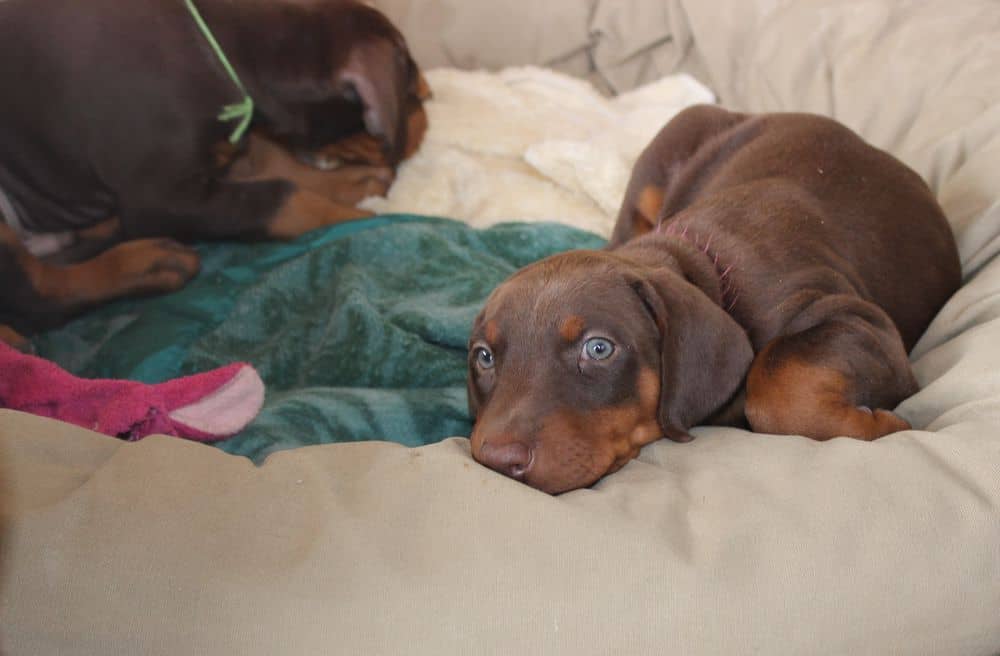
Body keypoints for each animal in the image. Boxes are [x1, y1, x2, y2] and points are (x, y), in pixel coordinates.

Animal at [0, 0, 426, 346]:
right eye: (414, 94)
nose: (426, 120)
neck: (223, 47)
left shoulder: (230, 140)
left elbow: (276, 162)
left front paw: (353, 182)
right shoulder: (160, 199)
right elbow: (283, 195)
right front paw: (364, 217)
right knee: (37, 299)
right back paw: (150, 262)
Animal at [468, 104, 960, 492]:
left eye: (599, 348)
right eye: (484, 357)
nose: (496, 461)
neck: (708, 272)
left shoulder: (860, 323)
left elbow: (779, 383)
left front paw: (885, 425)